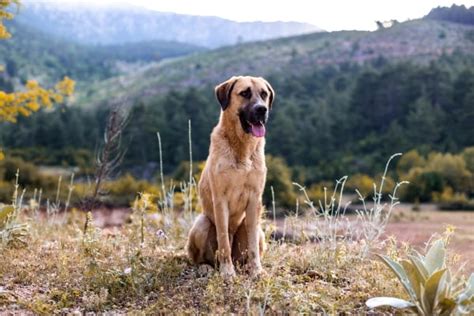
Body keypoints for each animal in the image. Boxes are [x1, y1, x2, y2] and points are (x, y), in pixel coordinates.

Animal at [185, 74, 274, 276]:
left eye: (264, 94)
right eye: (245, 93)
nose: (262, 109)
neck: (242, 147)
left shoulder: (254, 199)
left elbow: (252, 244)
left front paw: (256, 270)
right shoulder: (220, 199)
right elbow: (224, 239)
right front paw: (227, 272)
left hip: (259, 231)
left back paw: (246, 266)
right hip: (202, 223)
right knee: (201, 258)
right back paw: (207, 267)